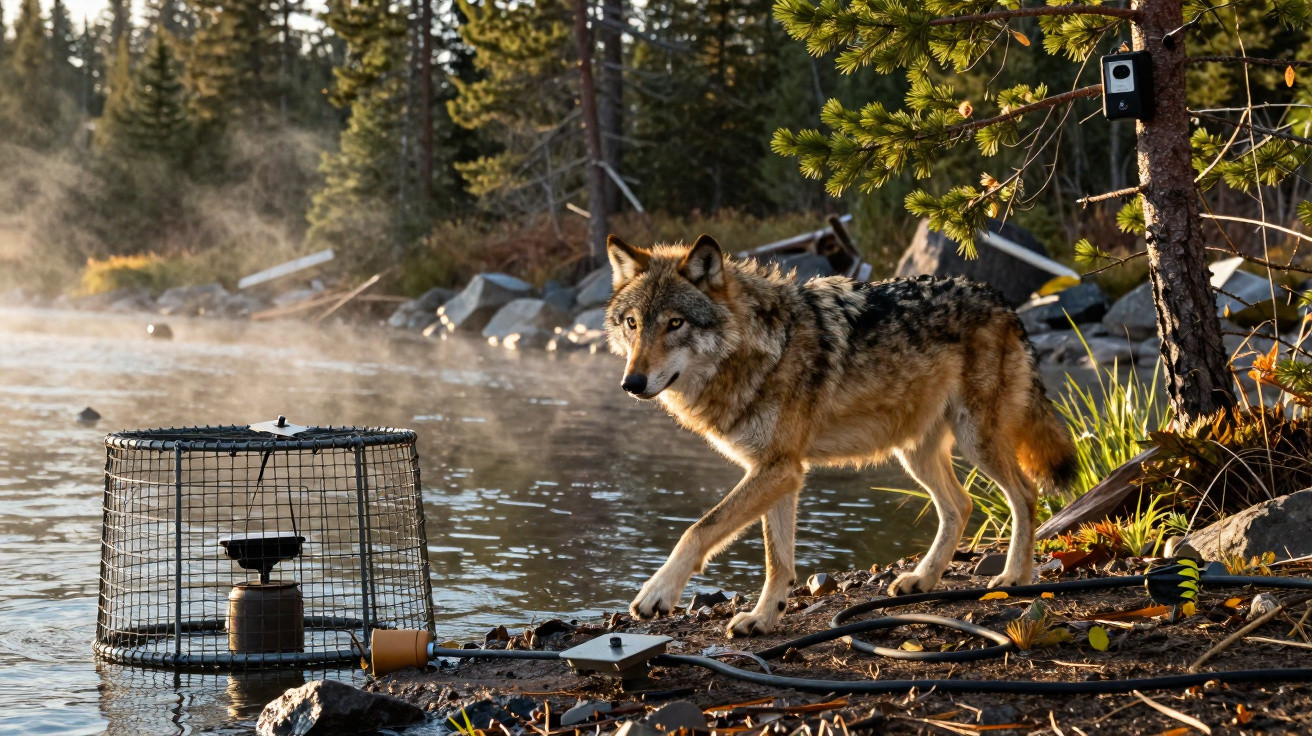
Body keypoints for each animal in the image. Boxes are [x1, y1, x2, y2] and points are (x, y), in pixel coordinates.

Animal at [604, 233, 1076, 638]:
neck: (761, 348)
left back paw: (1014, 576)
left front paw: (656, 593)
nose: (631, 383)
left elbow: (700, 528)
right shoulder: (779, 471)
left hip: (975, 439)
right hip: (915, 454)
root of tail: (1002, 302)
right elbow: (778, 561)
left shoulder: (778, 470)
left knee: (1025, 493)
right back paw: (923, 578)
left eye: (675, 323)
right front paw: (764, 618)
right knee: (961, 505)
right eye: (632, 323)